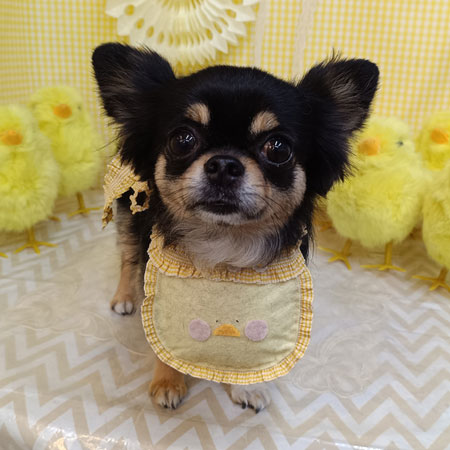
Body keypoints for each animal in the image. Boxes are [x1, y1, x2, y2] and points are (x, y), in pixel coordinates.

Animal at [92, 43, 379, 412]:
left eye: (278, 148)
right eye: (183, 139)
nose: (224, 164)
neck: (223, 244)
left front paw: (247, 389)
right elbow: (163, 338)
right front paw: (168, 382)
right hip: (129, 209)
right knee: (128, 257)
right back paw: (124, 297)